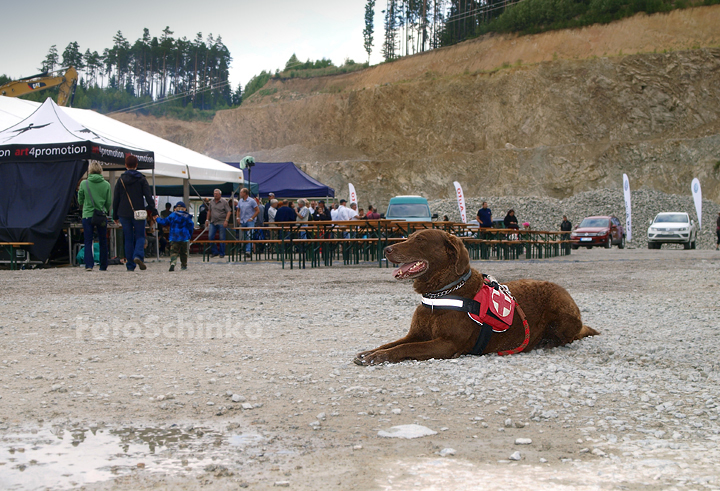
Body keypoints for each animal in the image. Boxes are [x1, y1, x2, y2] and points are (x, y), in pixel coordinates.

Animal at [354, 231, 596, 366]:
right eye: (409, 236)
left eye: (420, 239)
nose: (386, 248)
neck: (442, 291)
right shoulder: (416, 333)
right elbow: (392, 343)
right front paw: (369, 353)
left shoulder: (447, 343)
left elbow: (405, 349)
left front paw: (378, 357)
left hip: (561, 311)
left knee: (569, 336)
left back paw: (546, 341)